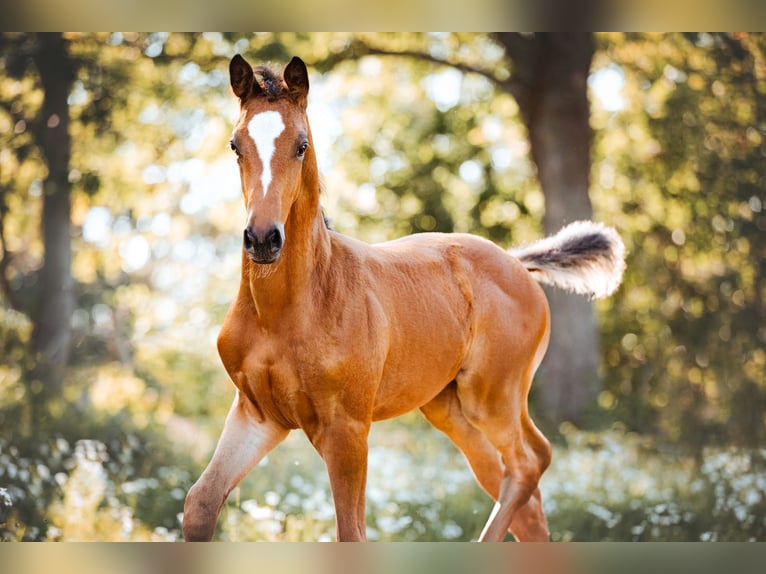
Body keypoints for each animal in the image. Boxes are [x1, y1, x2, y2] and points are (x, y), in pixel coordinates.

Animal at [183, 55, 628, 544]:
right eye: (235, 145)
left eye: (301, 145)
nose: (263, 239)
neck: (288, 309)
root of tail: (515, 261)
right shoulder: (257, 415)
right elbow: (200, 504)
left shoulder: (346, 429)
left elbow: (351, 533)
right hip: (449, 408)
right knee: (523, 495)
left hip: (492, 397)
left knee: (531, 462)